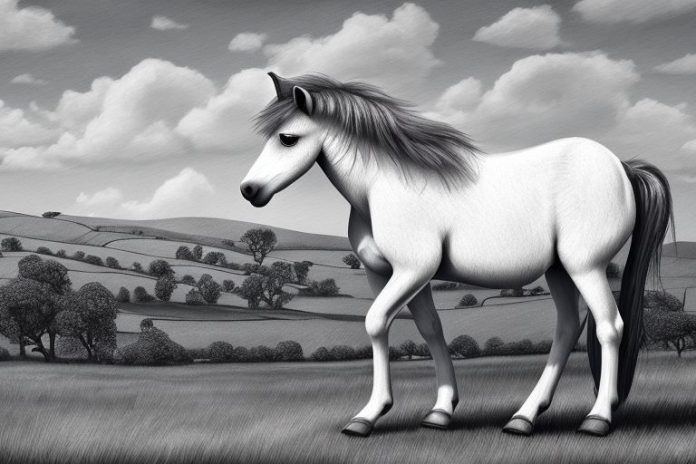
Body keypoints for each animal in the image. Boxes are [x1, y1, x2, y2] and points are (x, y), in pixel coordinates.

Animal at [241, 72, 673, 438]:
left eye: (288, 138)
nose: (249, 190)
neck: (383, 186)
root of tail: (622, 167)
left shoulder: (412, 270)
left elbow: (376, 322)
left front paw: (368, 415)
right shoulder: (389, 274)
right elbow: (431, 329)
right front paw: (440, 411)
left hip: (586, 267)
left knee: (609, 327)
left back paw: (597, 418)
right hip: (559, 271)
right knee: (567, 329)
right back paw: (524, 417)